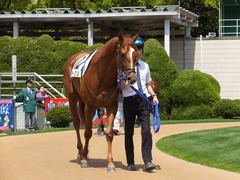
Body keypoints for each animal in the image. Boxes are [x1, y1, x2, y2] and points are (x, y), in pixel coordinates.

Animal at [63, 33, 139, 172]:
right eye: (122, 54)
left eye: (136, 54)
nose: (132, 78)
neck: (103, 75)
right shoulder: (90, 106)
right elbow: (88, 132)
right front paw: (84, 160)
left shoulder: (112, 105)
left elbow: (109, 133)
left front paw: (110, 163)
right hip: (72, 98)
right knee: (77, 123)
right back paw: (80, 153)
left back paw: (85, 152)